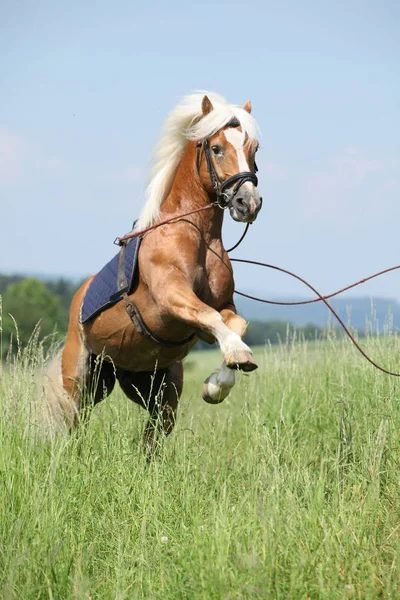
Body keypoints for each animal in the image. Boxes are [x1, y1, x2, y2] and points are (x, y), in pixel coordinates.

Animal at [50, 92, 262, 450]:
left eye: (254, 148)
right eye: (216, 148)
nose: (248, 203)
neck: (197, 235)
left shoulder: (222, 307)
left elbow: (234, 323)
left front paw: (217, 384)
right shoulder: (172, 296)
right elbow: (211, 317)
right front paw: (238, 354)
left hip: (160, 390)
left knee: (152, 439)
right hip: (80, 380)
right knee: (75, 427)